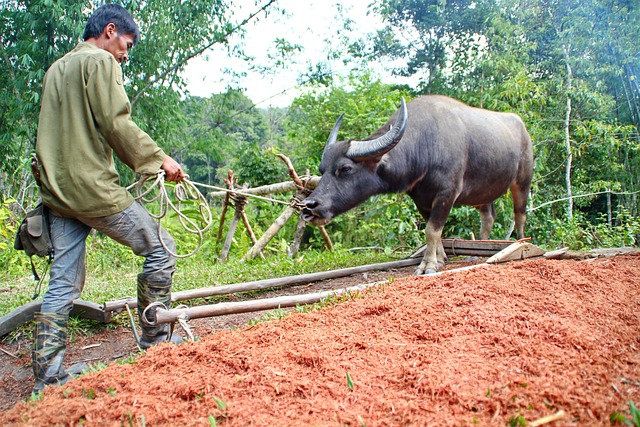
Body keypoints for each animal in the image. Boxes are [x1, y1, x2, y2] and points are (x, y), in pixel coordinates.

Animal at [300, 94, 536, 274]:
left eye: (345, 168)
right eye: (322, 170)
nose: (309, 206)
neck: (427, 144)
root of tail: (523, 128)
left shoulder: (447, 193)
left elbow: (432, 229)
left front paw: (428, 265)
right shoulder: (420, 199)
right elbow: (436, 232)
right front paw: (439, 259)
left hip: (523, 181)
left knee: (520, 214)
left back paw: (522, 244)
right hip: (483, 191)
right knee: (488, 218)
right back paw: (475, 251)